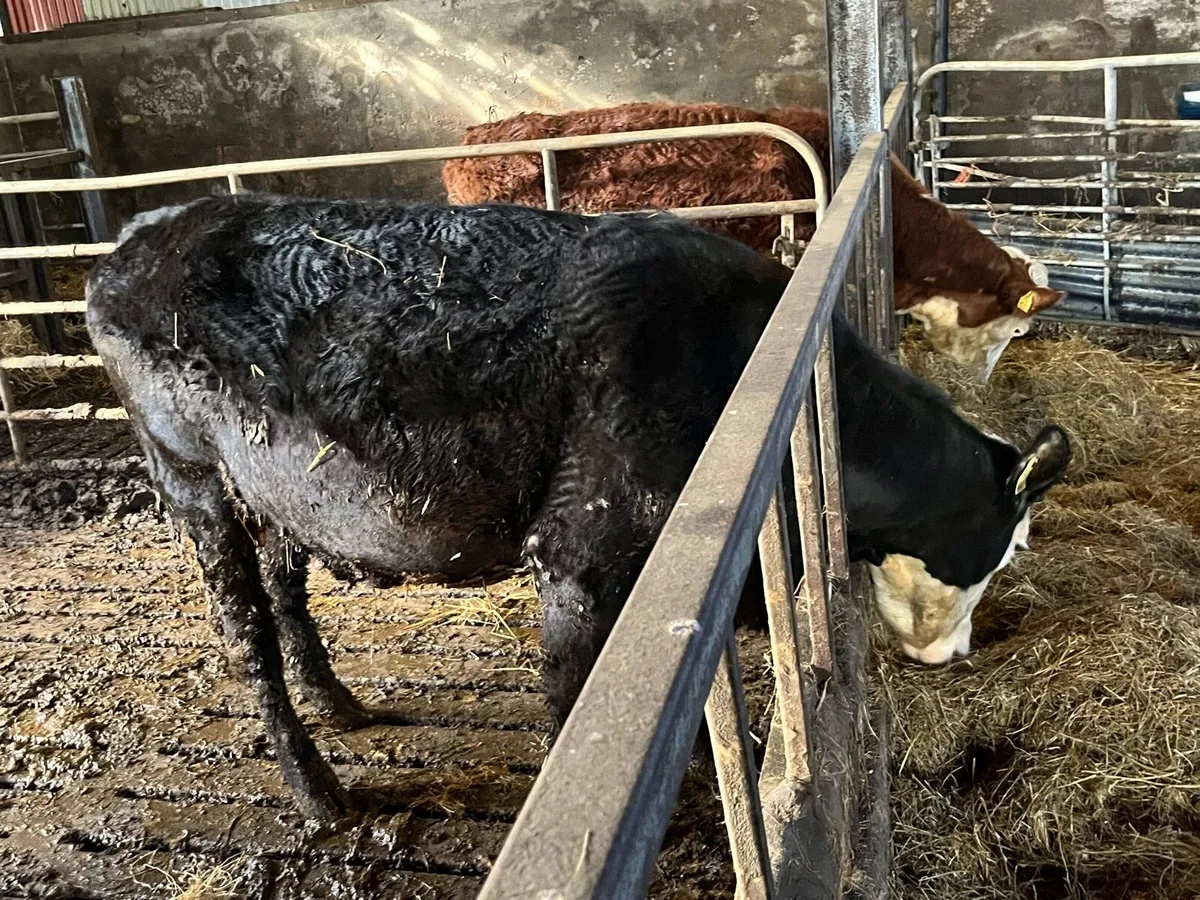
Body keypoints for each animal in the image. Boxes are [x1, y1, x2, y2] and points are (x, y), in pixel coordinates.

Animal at [85, 195, 1070, 821]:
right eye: (1008, 548)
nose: (958, 654)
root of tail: (142, 232)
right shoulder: (582, 553)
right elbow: (568, 698)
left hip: (275, 491)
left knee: (289, 597)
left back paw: (341, 704)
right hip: (190, 480)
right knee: (246, 632)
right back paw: (318, 793)